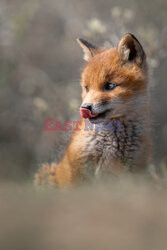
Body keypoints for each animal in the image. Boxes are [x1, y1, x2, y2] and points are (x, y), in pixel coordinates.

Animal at [35, 33, 153, 187]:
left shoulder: (134, 169)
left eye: (110, 86)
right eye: (86, 88)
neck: (113, 143)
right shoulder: (80, 168)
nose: (85, 108)